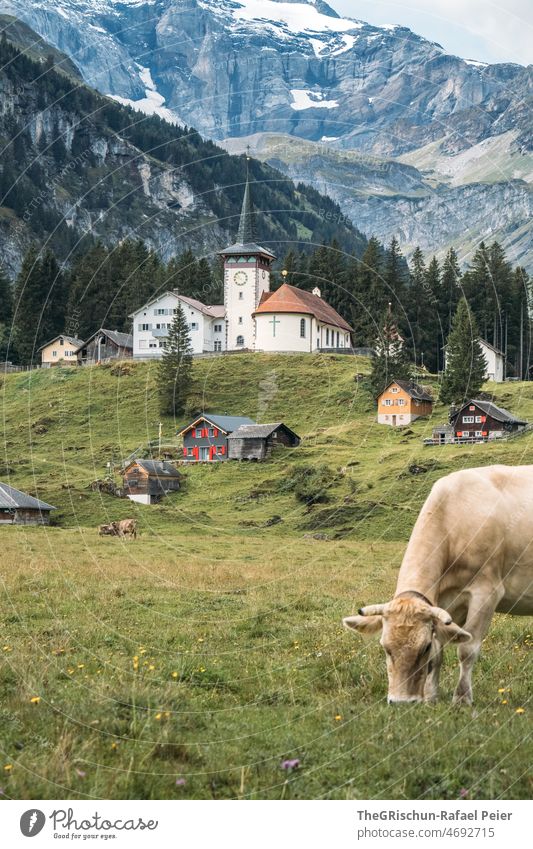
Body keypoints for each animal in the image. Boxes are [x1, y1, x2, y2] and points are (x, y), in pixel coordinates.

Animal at [340, 464, 532, 704]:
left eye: (424, 647)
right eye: (385, 648)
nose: (401, 702)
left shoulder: (486, 592)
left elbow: (466, 649)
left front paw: (462, 699)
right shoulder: (442, 602)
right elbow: (439, 654)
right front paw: (431, 697)